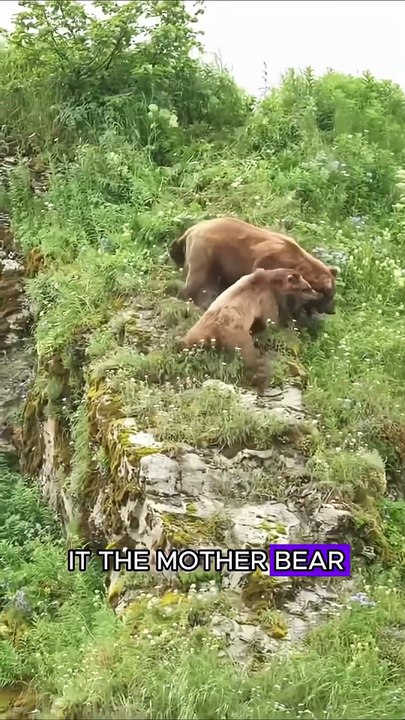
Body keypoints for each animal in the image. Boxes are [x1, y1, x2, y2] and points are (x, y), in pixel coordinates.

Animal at [169, 217, 338, 328]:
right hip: (208, 253)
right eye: (328, 296)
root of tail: (193, 229)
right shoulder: (270, 264)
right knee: (198, 280)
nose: (332, 310)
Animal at [180, 267, 321, 392]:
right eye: (306, 288)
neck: (271, 282)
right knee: (250, 355)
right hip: (236, 334)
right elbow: (270, 319)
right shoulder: (266, 298)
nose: (317, 294)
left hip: (197, 329)